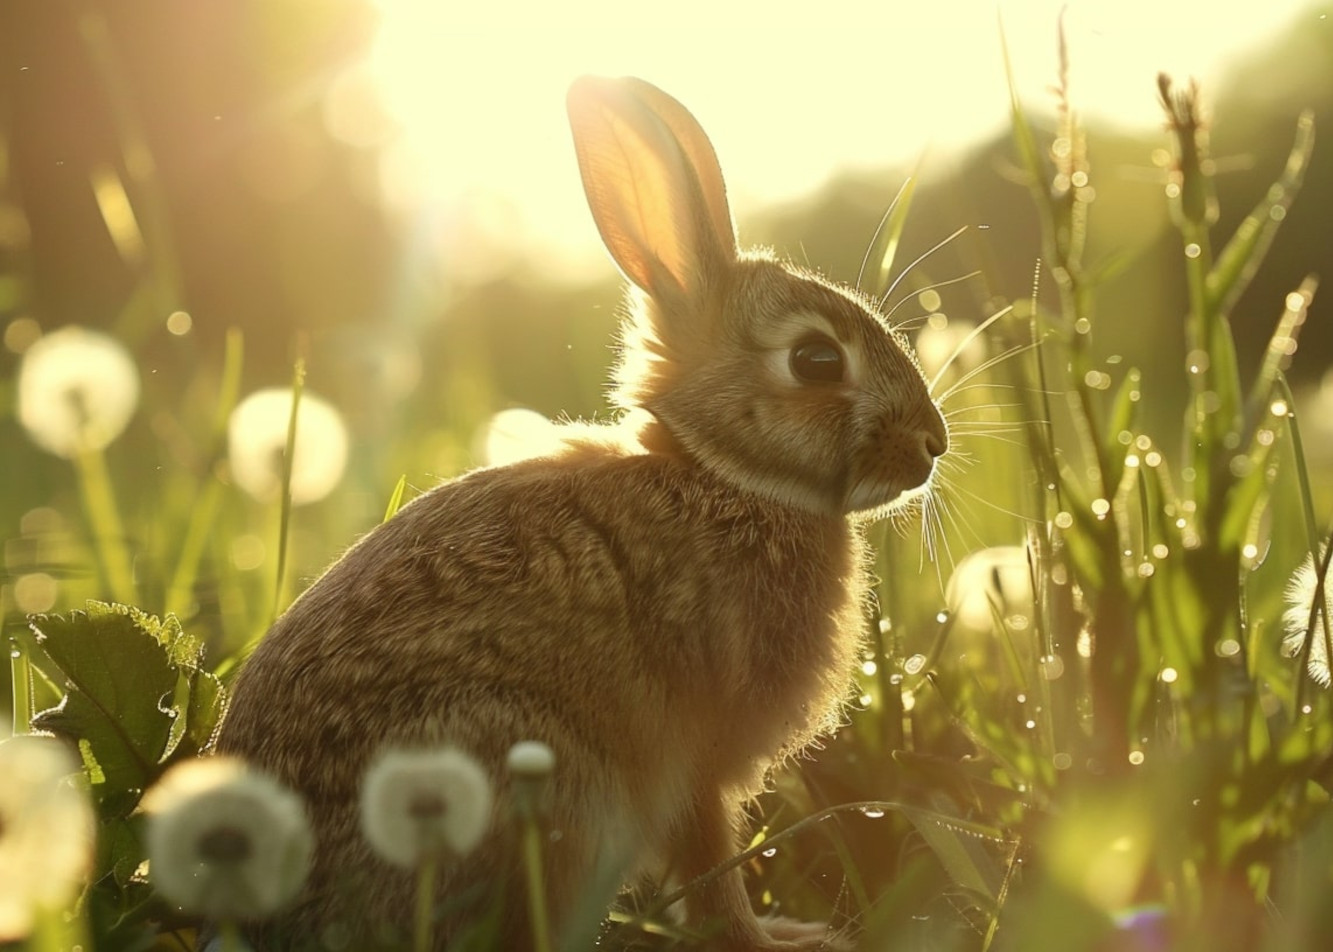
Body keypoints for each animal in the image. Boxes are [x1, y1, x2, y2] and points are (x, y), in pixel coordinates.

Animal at [213, 76, 949, 949]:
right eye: (814, 359)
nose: (932, 444)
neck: (722, 478)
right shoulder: (694, 758)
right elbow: (709, 866)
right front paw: (779, 940)